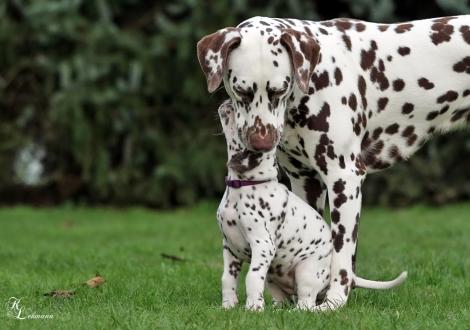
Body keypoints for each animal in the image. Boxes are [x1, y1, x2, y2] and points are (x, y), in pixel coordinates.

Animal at [217, 100, 408, 312]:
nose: (228, 102)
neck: (243, 186)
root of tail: (350, 278)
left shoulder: (262, 245)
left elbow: (252, 277)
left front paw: (253, 308)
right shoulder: (230, 247)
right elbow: (227, 279)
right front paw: (228, 305)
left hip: (305, 273)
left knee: (306, 305)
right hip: (273, 279)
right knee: (283, 299)